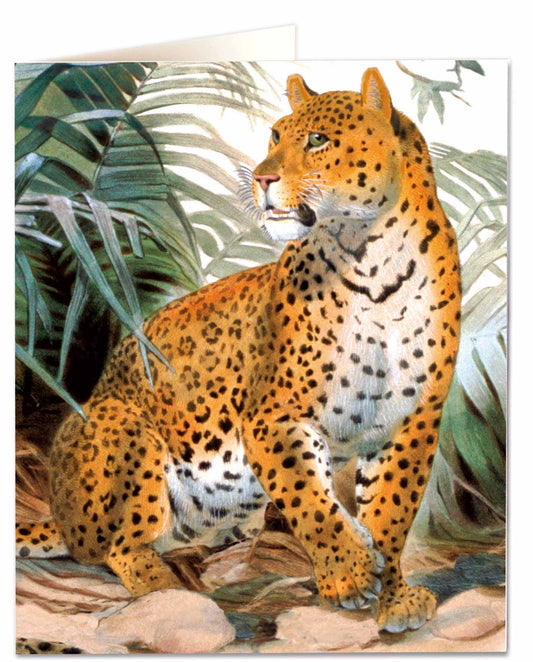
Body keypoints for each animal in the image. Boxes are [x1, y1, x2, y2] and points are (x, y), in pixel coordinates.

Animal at [16, 68, 461, 634]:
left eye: (317, 140)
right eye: (275, 137)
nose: (261, 179)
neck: (373, 256)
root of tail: (58, 512)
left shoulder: (412, 420)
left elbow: (391, 511)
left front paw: (394, 596)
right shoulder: (274, 418)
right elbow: (311, 502)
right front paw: (351, 574)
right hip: (124, 428)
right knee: (117, 547)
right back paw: (165, 588)